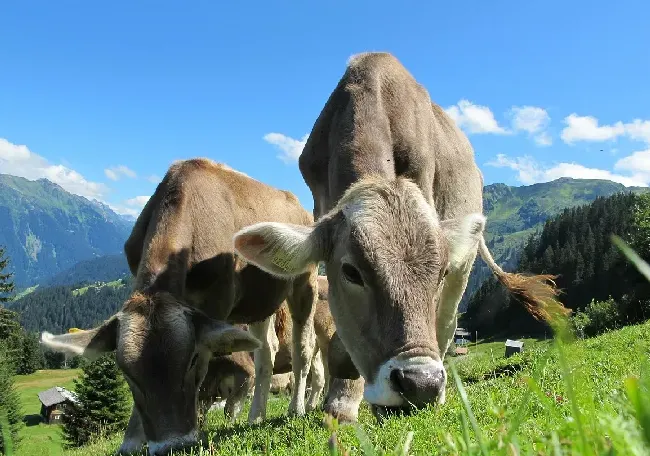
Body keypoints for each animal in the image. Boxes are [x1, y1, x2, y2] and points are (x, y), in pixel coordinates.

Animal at [39, 159, 318, 454]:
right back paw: (256, 416)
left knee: (303, 346)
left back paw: (296, 408)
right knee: (266, 351)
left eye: (192, 359)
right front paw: (132, 441)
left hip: (305, 282)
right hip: (258, 302)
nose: (173, 445)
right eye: (126, 372)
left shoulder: (216, 304)